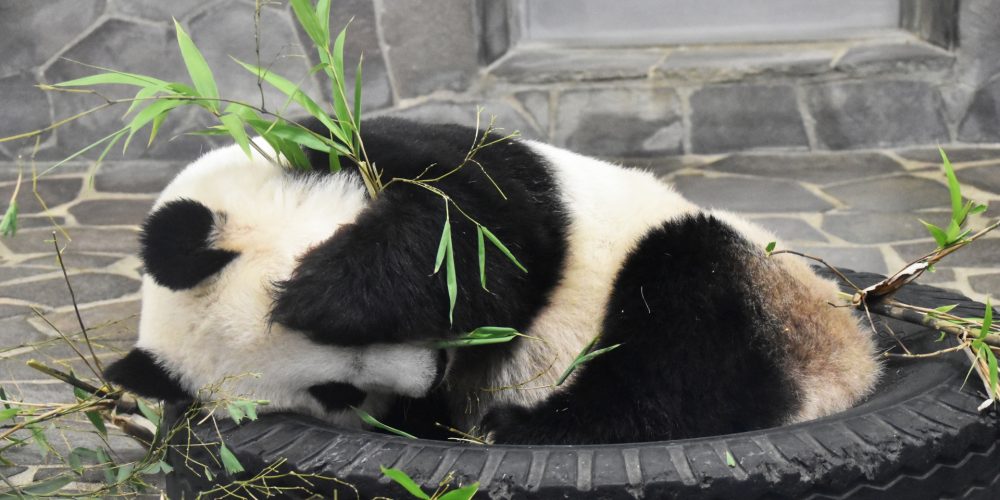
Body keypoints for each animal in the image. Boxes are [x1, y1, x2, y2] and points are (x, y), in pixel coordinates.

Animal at [101, 117, 880, 446]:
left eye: (346, 344)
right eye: (336, 394)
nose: (428, 375)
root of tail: (861, 365)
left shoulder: (375, 147)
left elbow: (479, 229)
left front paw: (322, 291)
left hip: (763, 285)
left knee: (687, 339)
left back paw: (536, 426)